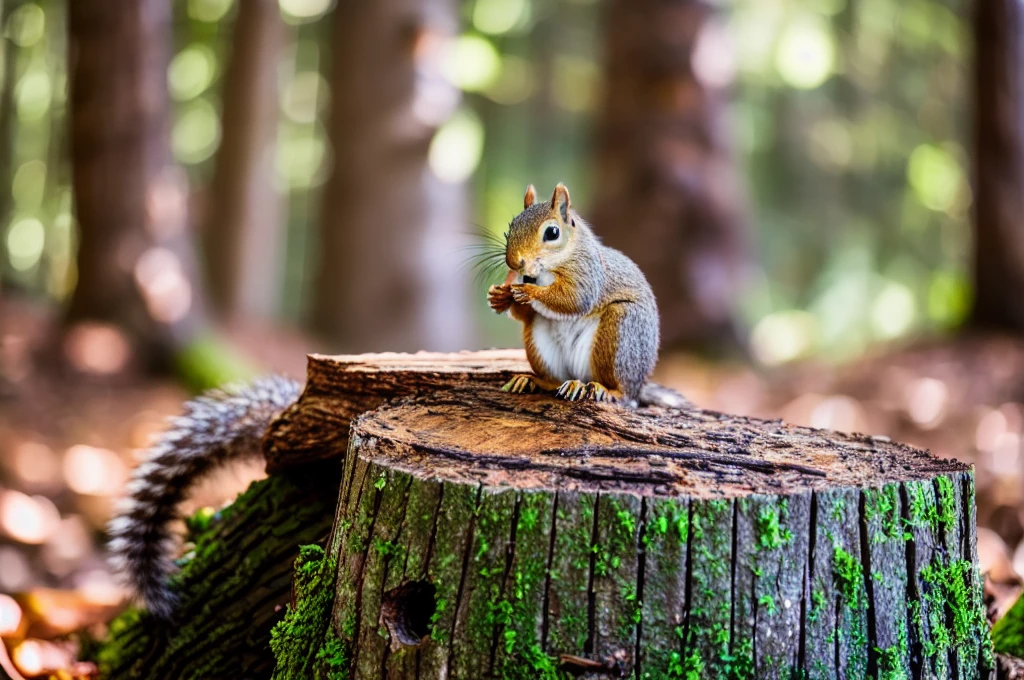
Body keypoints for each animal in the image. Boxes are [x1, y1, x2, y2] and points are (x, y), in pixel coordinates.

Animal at [485, 180, 659, 403]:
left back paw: (605, 389)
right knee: (556, 380)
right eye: (511, 227)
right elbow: (523, 313)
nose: (514, 262)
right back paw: (535, 381)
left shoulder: (588, 275)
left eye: (552, 233)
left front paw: (530, 291)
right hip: (541, 346)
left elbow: (573, 299)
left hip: (624, 330)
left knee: (624, 392)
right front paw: (500, 297)